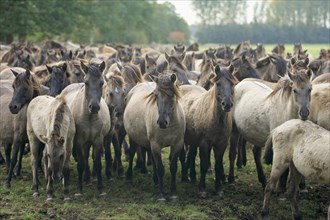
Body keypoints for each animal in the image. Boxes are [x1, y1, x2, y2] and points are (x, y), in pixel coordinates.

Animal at [59, 60, 111, 196]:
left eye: (102, 83)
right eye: (86, 83)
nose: (94, 107)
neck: (89, 117)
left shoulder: (98, 141)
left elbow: (97, 164)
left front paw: (101, 189)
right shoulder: (79, 141)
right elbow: (81, 164)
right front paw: (79, 190)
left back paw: (88, 178)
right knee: (84, 158)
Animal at [124, 72, 186, 201]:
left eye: (171, 95)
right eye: (156, 95)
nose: (162, 122)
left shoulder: (177, 144)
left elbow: (173, 168)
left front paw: (173, 194)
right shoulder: (156, 145)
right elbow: (160, 169)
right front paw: (161, 196)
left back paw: (155, 180)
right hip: (133, 138)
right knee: (132, 154)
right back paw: (129, 177)